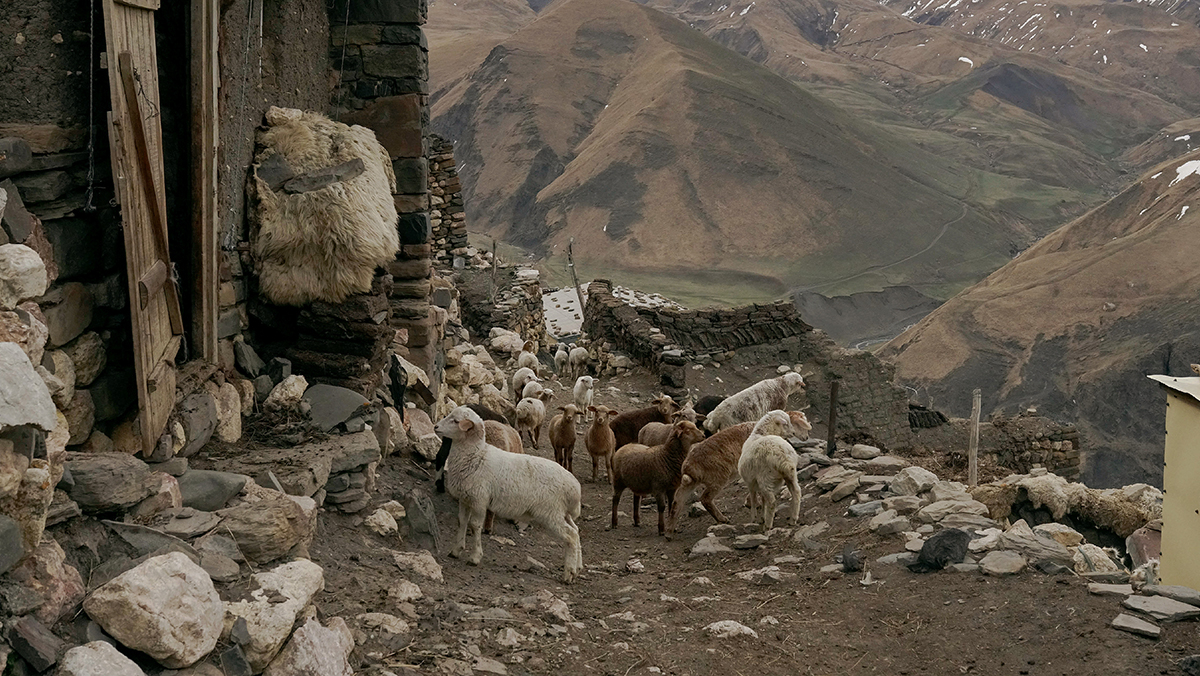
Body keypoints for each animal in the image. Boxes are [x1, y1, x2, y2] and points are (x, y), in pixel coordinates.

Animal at [434, 408, 583, 581]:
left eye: (456, 421)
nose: (436, 427)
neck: (476, 456)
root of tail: (574, 487)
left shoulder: (479, 500)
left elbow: (475, 526)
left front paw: (475, 557)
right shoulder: (465, 499)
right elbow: (462, 522)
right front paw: (456, 550)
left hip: (550, 512)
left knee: (570, 535)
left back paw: (568, 573)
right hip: (563, 513)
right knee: (576, 531)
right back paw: (577, 567)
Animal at [672, 408, 811, 535]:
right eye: (791, 423)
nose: (806, 437)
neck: (759, 432)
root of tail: (688, 465)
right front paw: (756, 512)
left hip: (691, 481)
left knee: (678, 500)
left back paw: (669, 529)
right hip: (718, 478)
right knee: (704, 499)